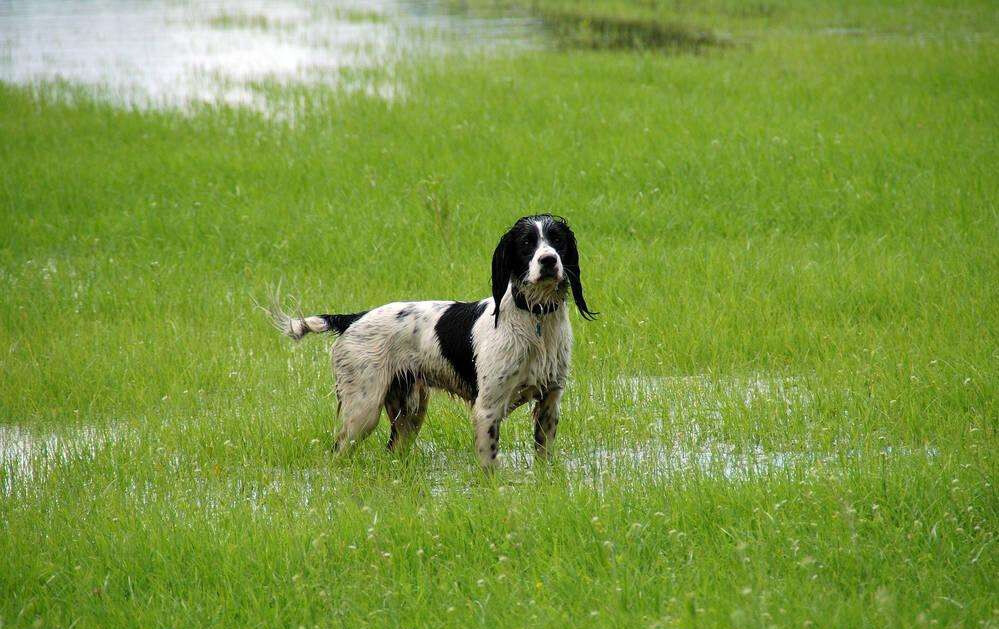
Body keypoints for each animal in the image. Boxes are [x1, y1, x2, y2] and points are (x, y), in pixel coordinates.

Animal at [268, 216, 592, 466]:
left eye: (558, 240)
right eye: (526, 244)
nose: (548, 260)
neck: (535, 320)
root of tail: (353, 318)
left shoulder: (549, 402)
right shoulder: (487, 409)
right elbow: (489, 464)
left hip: (409, 411)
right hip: (361, 410)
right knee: (337, 454)